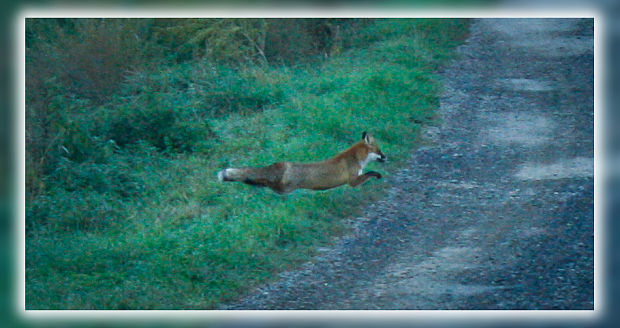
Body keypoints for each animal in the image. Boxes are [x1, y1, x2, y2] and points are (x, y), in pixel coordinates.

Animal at [216, 132, 386, 195]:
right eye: (380, 151)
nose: (386, 157)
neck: (355, 158)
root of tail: (284, 164)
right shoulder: (352, 180)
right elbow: (369, 173)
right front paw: (377, 174)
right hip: (284, 188)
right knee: (263, 181)